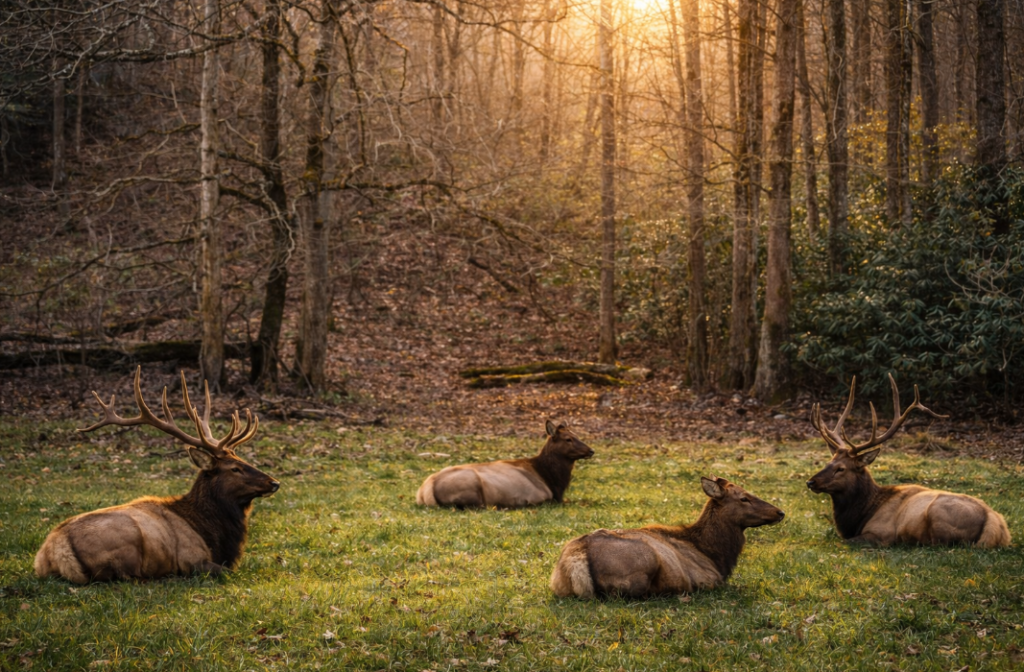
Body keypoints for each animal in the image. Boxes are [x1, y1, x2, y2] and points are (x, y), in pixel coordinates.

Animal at [34, 367, 280, 583]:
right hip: (127, 540)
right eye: (235, 468)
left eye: (243, 460)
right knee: (123, 576)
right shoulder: (193, 559)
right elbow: (228, 572)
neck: (214, 536)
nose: (274, 482)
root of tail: (55, 551)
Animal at [416, 420, 594, 508]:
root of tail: (425, 490)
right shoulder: (542, 497)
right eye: (568, 439)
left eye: (577, 435)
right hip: (470, 488)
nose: (591, 450)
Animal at [550, 476, 785, 598]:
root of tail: (575, 556)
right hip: (645, 560)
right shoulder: (709, 579)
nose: (780, 512)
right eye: (744, 498)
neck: (716, 556)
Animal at [806, 374, 1010, 548]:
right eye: (829, 462)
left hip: (938, 514)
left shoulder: (881, 534)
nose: (810, 482)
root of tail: (997, 525)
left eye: (841, 469)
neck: (860, 516)